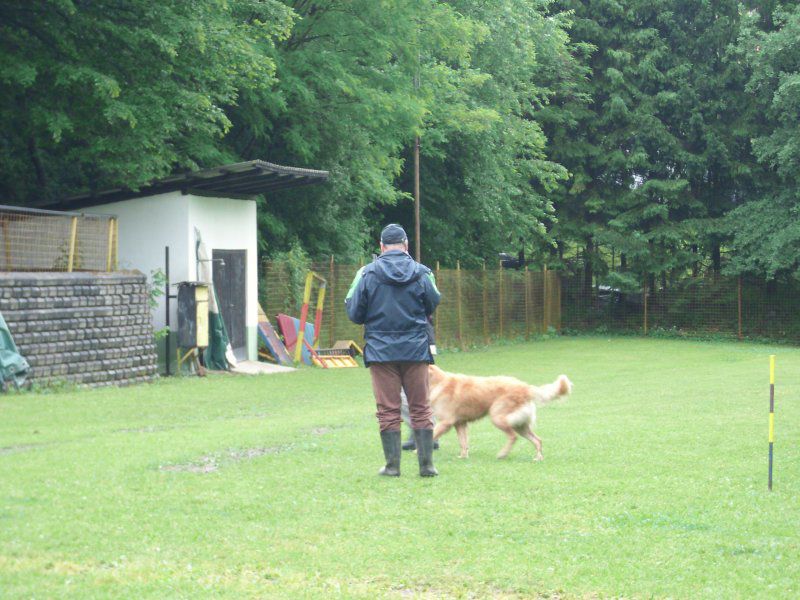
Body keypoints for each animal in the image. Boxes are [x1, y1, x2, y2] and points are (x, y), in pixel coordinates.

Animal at [428, 366, 572, 460]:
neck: (437, 383)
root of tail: (526, 387)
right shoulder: (460, 423)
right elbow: (463, 442)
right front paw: (463, 456)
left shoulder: (445, 422)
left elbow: (432, 436)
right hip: (520, 425)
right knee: (537, 440)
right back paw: (538, 458)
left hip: (498, 417)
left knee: (513, 437)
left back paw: (503, 454)